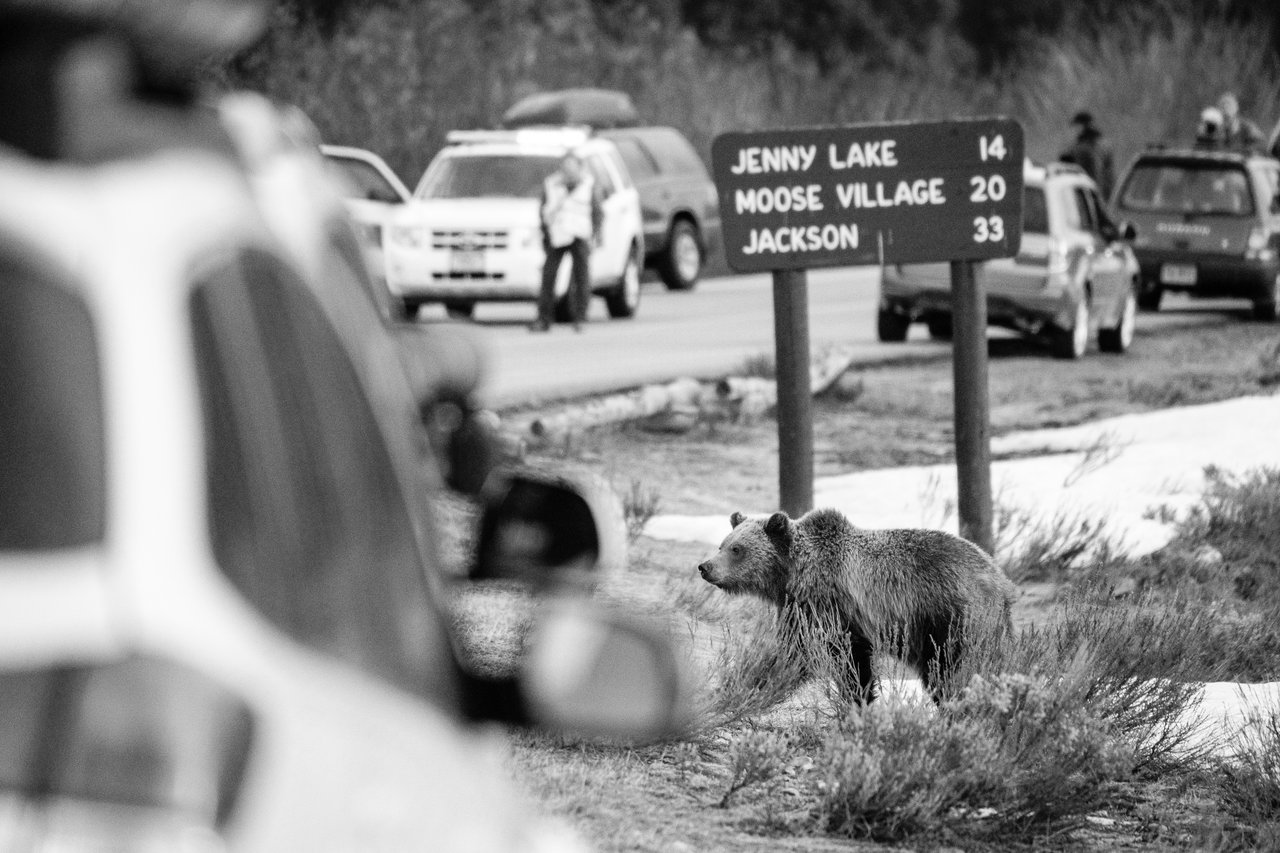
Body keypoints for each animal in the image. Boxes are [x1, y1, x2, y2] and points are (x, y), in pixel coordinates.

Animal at [697, 507, 1016, 706]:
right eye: (723, 544)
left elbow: (847, 664)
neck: (794, 576)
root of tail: (1001, 581)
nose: (705, 566)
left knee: (951, 672)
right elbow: (795, 653)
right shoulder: (799, 609)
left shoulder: (833, 609)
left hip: (949, 619)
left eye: (737, 549)